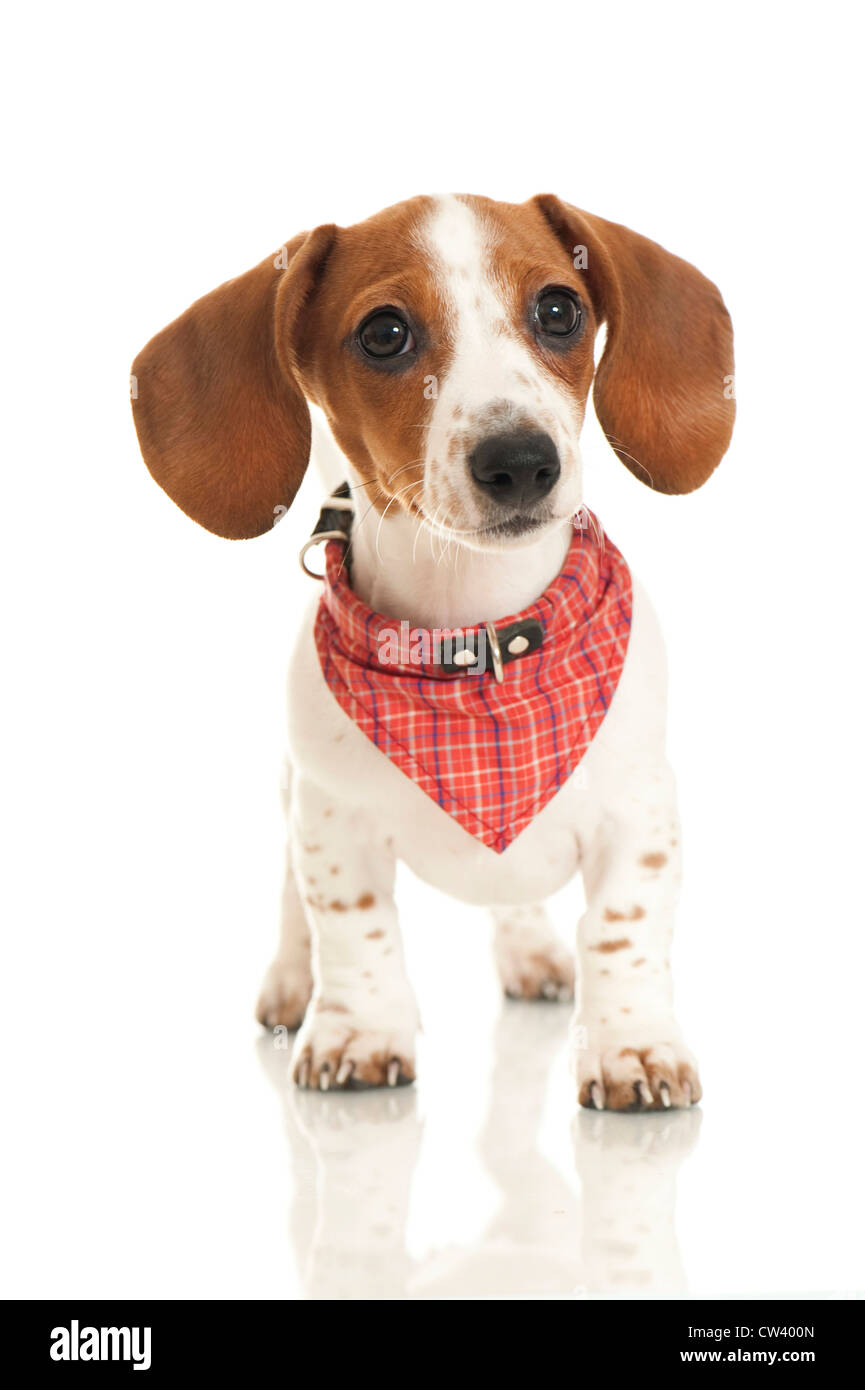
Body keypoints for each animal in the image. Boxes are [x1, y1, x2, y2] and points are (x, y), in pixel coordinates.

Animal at [132, 193, 734, 1106]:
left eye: (558, 311)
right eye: (384, 333)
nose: (520, 460)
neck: (471, 641)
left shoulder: (640, 813)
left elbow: (619, 930)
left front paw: (632, 1046)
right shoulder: (331, 820)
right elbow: (353, 928)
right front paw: (357, 1031)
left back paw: (529, 951)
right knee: (291, 898)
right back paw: (292, 982)